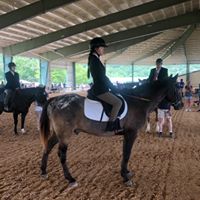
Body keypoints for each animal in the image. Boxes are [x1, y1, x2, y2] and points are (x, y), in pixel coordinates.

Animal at [38, 74, 183, 188]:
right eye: (176, 88)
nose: (180, 105)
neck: (139, 101)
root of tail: (56, 100)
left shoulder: (127, 134)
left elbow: (125, 153)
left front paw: (126, 173)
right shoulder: (131, 133)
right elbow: (127, 154)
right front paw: (126, 178)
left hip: (57, 134)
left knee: (47, 147)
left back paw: (44, 172)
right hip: (65, 135)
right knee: (61, 154)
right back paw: (71, 179)